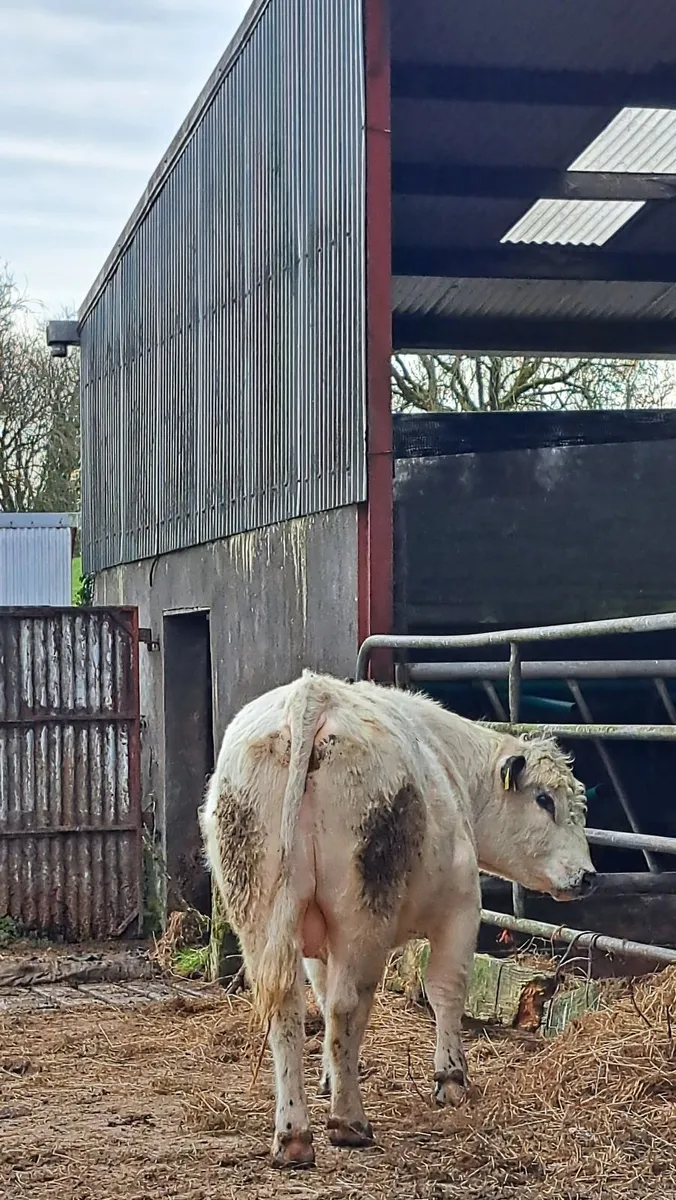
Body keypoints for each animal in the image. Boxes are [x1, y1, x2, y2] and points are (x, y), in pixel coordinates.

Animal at [200, 671, 595, 1168]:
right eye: (545, 800)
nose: (588, 875)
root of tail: (312, 694)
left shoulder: (316, 939)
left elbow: (322, 998)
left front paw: (329, 1076)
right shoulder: (460, 910)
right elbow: (446, 990)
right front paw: (451, 1079)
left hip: (260, 912)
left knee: (287, 1009)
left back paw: (294, 1135)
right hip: (363, 910)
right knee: (346, 1004)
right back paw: (348, 1122)